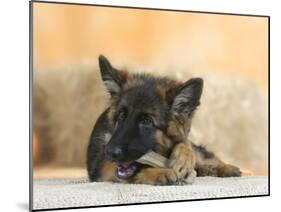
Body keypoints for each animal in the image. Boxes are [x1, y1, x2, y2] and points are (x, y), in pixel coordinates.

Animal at [86, 55, 240, 186]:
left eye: (147, 121)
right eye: (121, 116)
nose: (109, 152)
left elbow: (184, 144)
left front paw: (183, 158)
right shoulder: (102, 167)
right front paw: (160, 173)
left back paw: (225, 168)